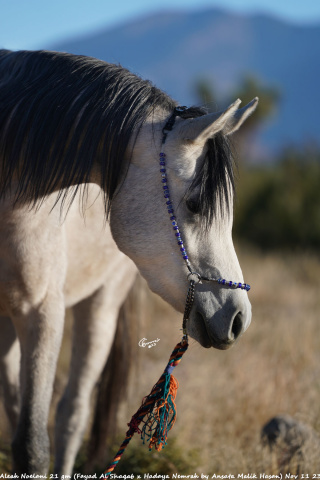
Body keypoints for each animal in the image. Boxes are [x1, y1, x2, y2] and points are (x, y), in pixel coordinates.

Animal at [0, 50, 258, 474]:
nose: (238, 318)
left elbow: (33, 446)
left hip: (101, 307)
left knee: (71, 415)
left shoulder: (41, 312)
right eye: (195, 204)